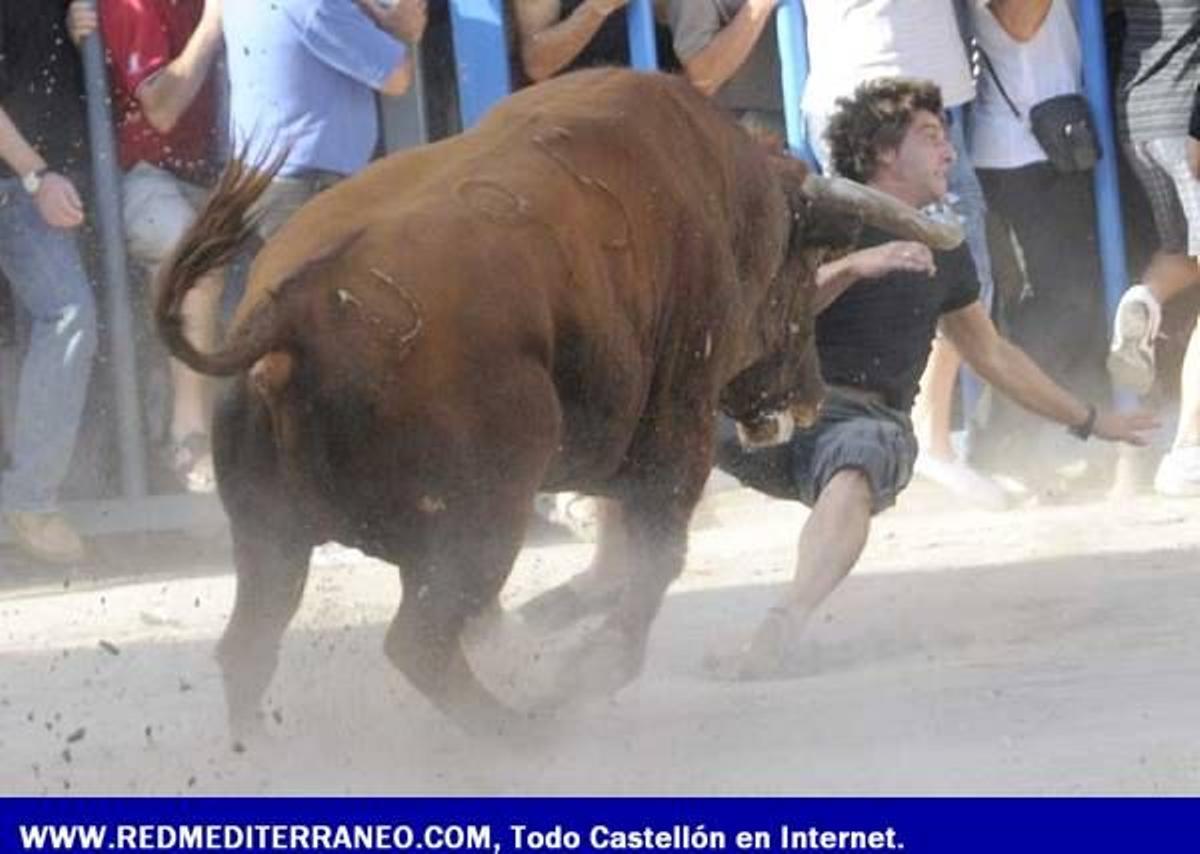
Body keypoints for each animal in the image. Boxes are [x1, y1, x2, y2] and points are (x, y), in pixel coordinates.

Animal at [155, 69, 960, 737]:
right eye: (806, 264)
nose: (809, 392)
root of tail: (291, 311)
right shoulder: (675, 437)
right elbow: (654, 561)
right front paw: (588, 669)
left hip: (273, 540)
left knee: (250, 644)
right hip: (480, 524)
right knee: (418, 640)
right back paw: (525, 731)